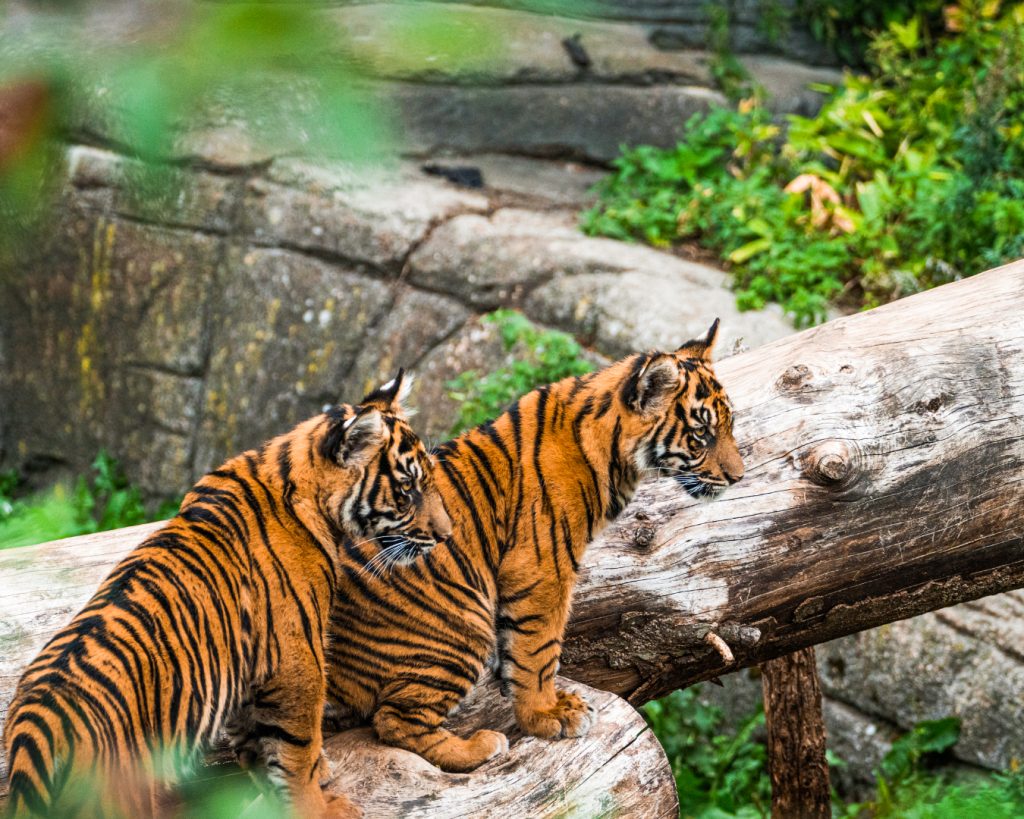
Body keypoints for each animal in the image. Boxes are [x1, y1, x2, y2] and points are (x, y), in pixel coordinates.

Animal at [2, 371, 451, 818]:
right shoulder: (297, 660)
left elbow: (260, 747)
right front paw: (317, 805)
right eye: (407, 489)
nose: (446, 535)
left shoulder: (249, 674)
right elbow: (297, 750)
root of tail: (35, 729)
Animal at [325, 319, 743, 772]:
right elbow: (540, 648)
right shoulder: (543, 567)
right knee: (393, 721)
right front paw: (548, 715)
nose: (738, 477)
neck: (612, 452)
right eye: (701, 434)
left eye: (729, 426)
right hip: (463, 625)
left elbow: (518, 650)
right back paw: (477, 747)